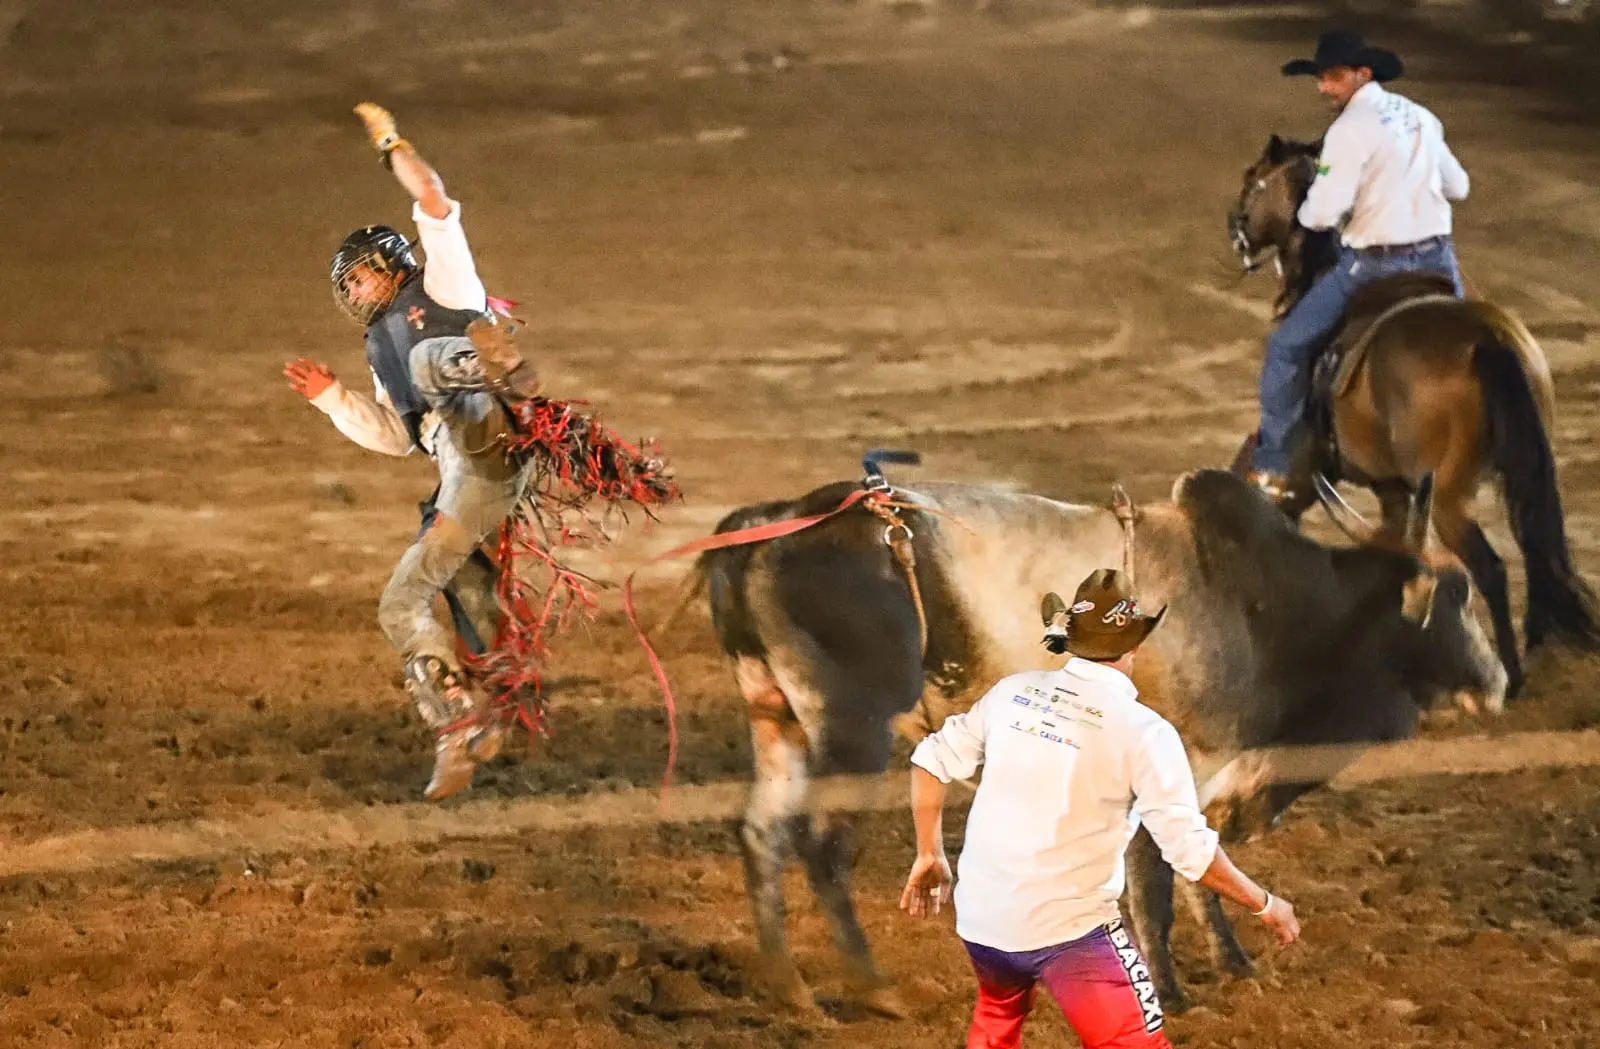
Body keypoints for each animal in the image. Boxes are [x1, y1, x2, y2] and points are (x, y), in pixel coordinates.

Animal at [696, 461, 1506, 1016]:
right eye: (1458, 592)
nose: (1498, 680)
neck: (1257, 598)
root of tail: (769, 524)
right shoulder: (1188, 760)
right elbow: (1162, 878)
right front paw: (1173, 991)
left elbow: (1187, 871)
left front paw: (1228, 965)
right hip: (854, 726)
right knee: (823, 844)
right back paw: (873, 987)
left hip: (778, 718)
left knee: (761, 834)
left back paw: (791, 988)